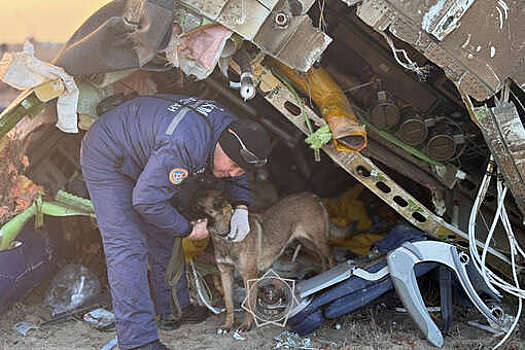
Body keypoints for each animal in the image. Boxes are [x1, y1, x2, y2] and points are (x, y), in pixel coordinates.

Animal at [194, 190, 334, 332]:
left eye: (198, 207)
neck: (227, 235)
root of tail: (311, 196)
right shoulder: (225, 273)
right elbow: (229, 304)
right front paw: (227, 325)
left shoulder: (249, 274)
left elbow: (248, 303)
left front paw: (246, 325)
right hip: (307, 242)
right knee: (322, 258)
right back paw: (324, 274)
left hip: (317, 241)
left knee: (330, 256)